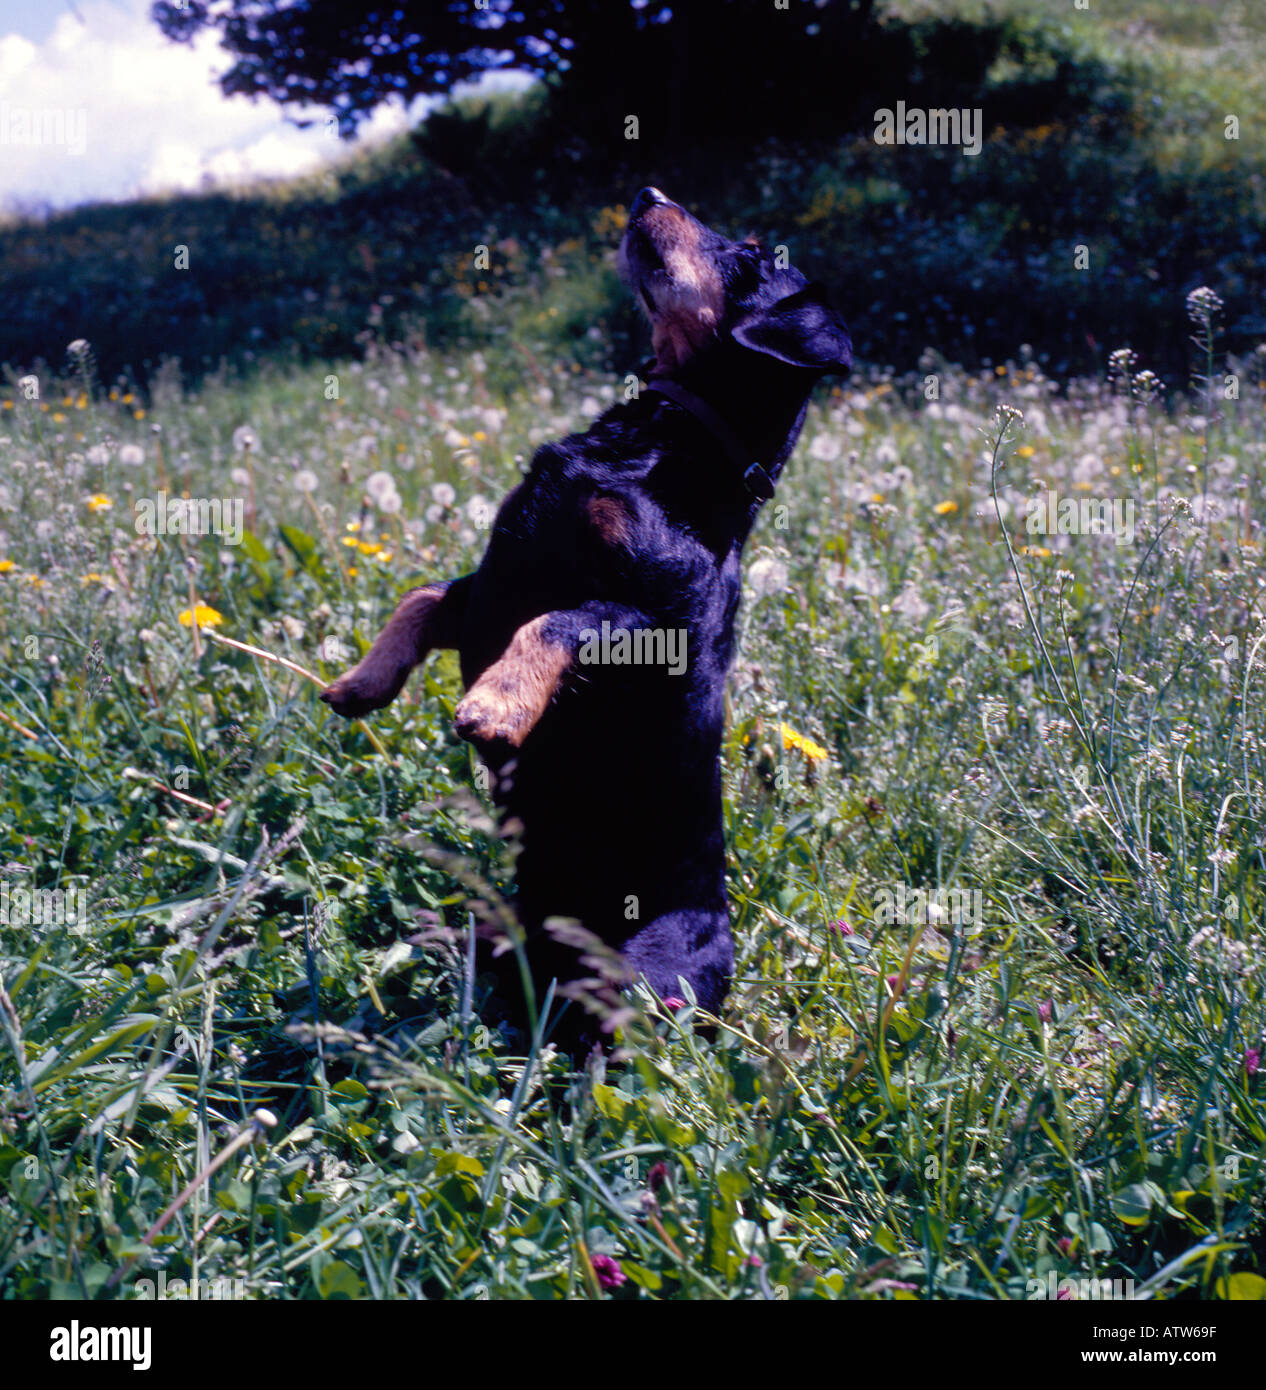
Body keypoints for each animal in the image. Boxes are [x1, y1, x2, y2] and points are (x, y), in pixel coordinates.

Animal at [319, 187, 850, 1050]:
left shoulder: (651, 619)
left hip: (638, 986)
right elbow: (421, 595)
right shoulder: (484, 585)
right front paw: (359, 684)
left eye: (750, 255)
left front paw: (495, 707)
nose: (649, 194)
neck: (659, 444)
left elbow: (558, 622)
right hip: (498, 927)